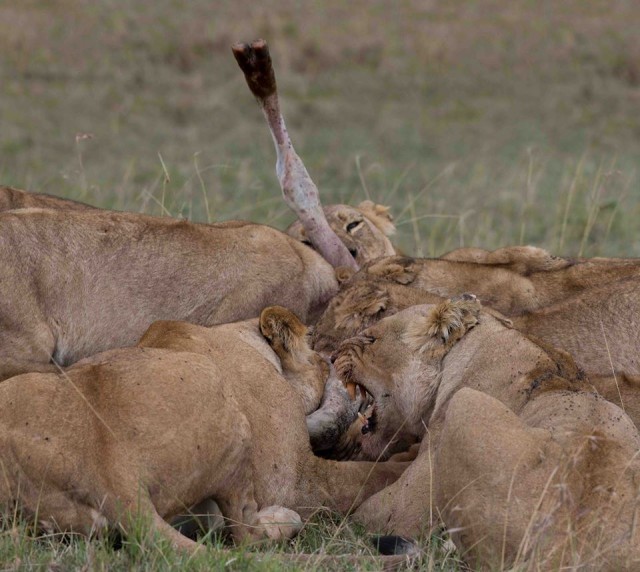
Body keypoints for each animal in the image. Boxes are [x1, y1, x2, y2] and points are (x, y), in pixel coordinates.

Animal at [0, 306, 404, 552]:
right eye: (322, 356)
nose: (336, 362)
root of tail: (112, 470)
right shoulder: (293, 477)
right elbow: (367, 476)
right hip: (228, 411)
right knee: (244, 535)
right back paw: (282, 522)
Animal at [332, 298, 640, 568]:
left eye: (371, 339)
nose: (333, 356)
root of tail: (559, 550)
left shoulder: (400, 511)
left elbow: (364, 514)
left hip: (466, 401)